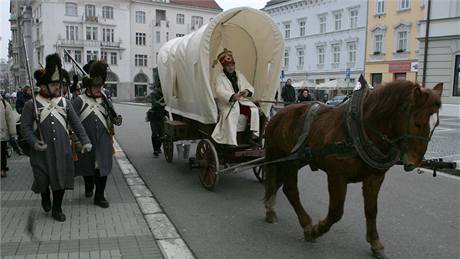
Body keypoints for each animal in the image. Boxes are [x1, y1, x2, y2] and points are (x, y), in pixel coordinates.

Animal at [264, 80, 444, 258]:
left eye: (436, 124)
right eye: (417, 123)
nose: (415, 163)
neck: (361, 130)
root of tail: (278, 115)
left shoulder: (375, 177)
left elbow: (371, 210)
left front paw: (375, 242)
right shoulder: (336, 176)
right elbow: (336, 212)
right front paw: (316, 230)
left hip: (297, 160)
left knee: (277, 183)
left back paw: (270, 208)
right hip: (289, 161)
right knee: (290, 190)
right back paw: (306, 224)